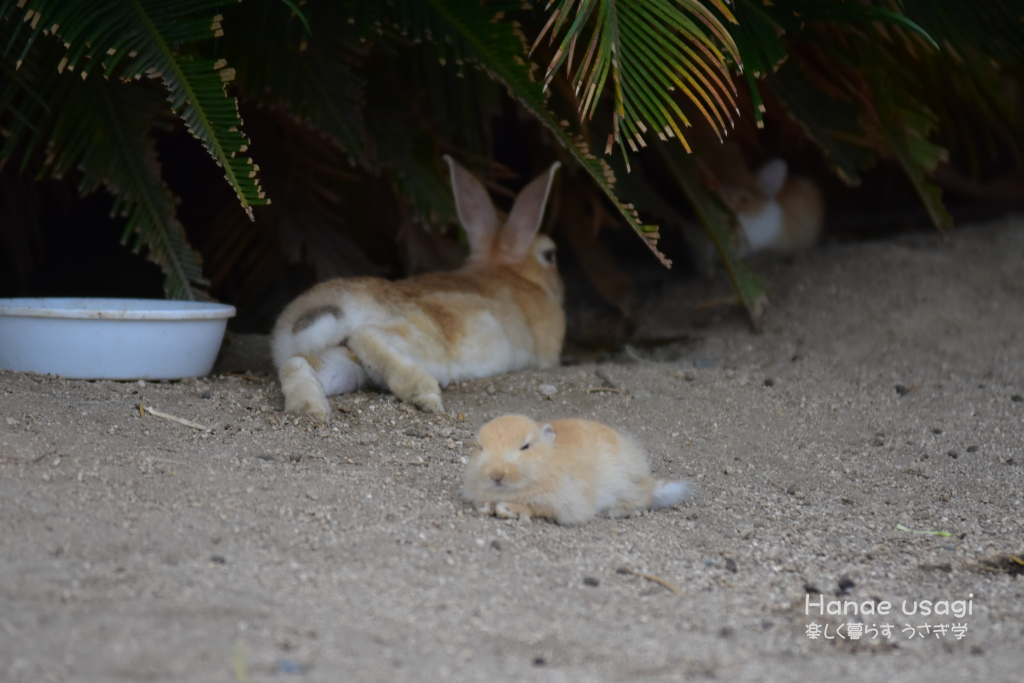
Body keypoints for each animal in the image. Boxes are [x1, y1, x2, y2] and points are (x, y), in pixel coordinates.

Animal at [272, 156, 565, 419]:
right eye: (550, 254)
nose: (560, 286)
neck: (509, 272)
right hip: (421, 340)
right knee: (365, 334)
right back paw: (425, 394)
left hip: (341, 362)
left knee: (297, 364)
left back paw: (309, 409)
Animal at [466, 413, 692, 528]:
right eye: (480, 447)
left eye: (525, 447)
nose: (496, 473)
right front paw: (486, 506)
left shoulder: (567, 501)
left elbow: (537, 508)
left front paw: (509, 508)